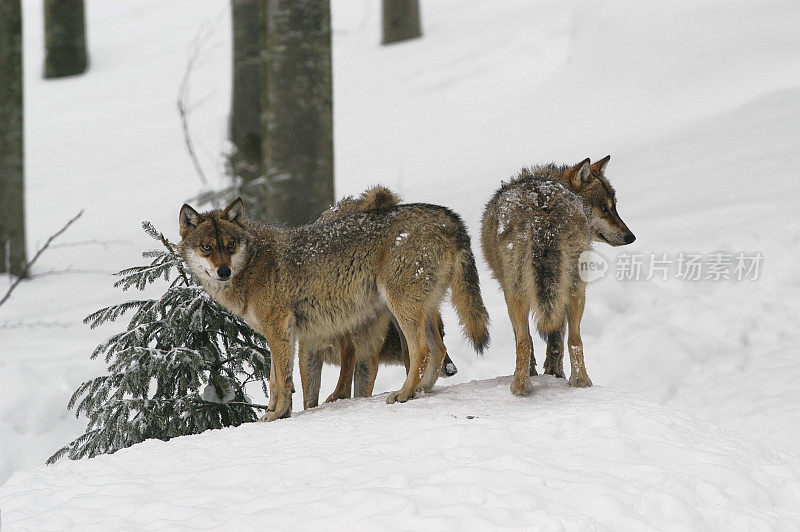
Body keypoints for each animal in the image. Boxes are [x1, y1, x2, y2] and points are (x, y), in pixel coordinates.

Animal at [178, 189, 488, 422]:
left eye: (230, 245)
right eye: (207, 247)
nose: (224, 271)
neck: (254, 263)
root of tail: (447, 216)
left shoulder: (279, 328)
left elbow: (282, 380)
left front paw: (277, 414)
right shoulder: (284, 334)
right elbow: (278, 378)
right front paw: (274, 412)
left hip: (402, 309)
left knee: (421, 351)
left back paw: (403, 394)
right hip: (420, 311)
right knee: (438, 350)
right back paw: (420, 391)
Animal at [482, 156, 636, 396]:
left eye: (614, 207)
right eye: (604, 207)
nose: (631, 237)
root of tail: (542, 206)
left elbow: (528, 339)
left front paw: (537, 373)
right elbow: (557, 339)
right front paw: (555, 373)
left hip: (516, 292)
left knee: (524, 342)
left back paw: (520, 388)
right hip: (575, 287)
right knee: (575, 339)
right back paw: (581, 382)